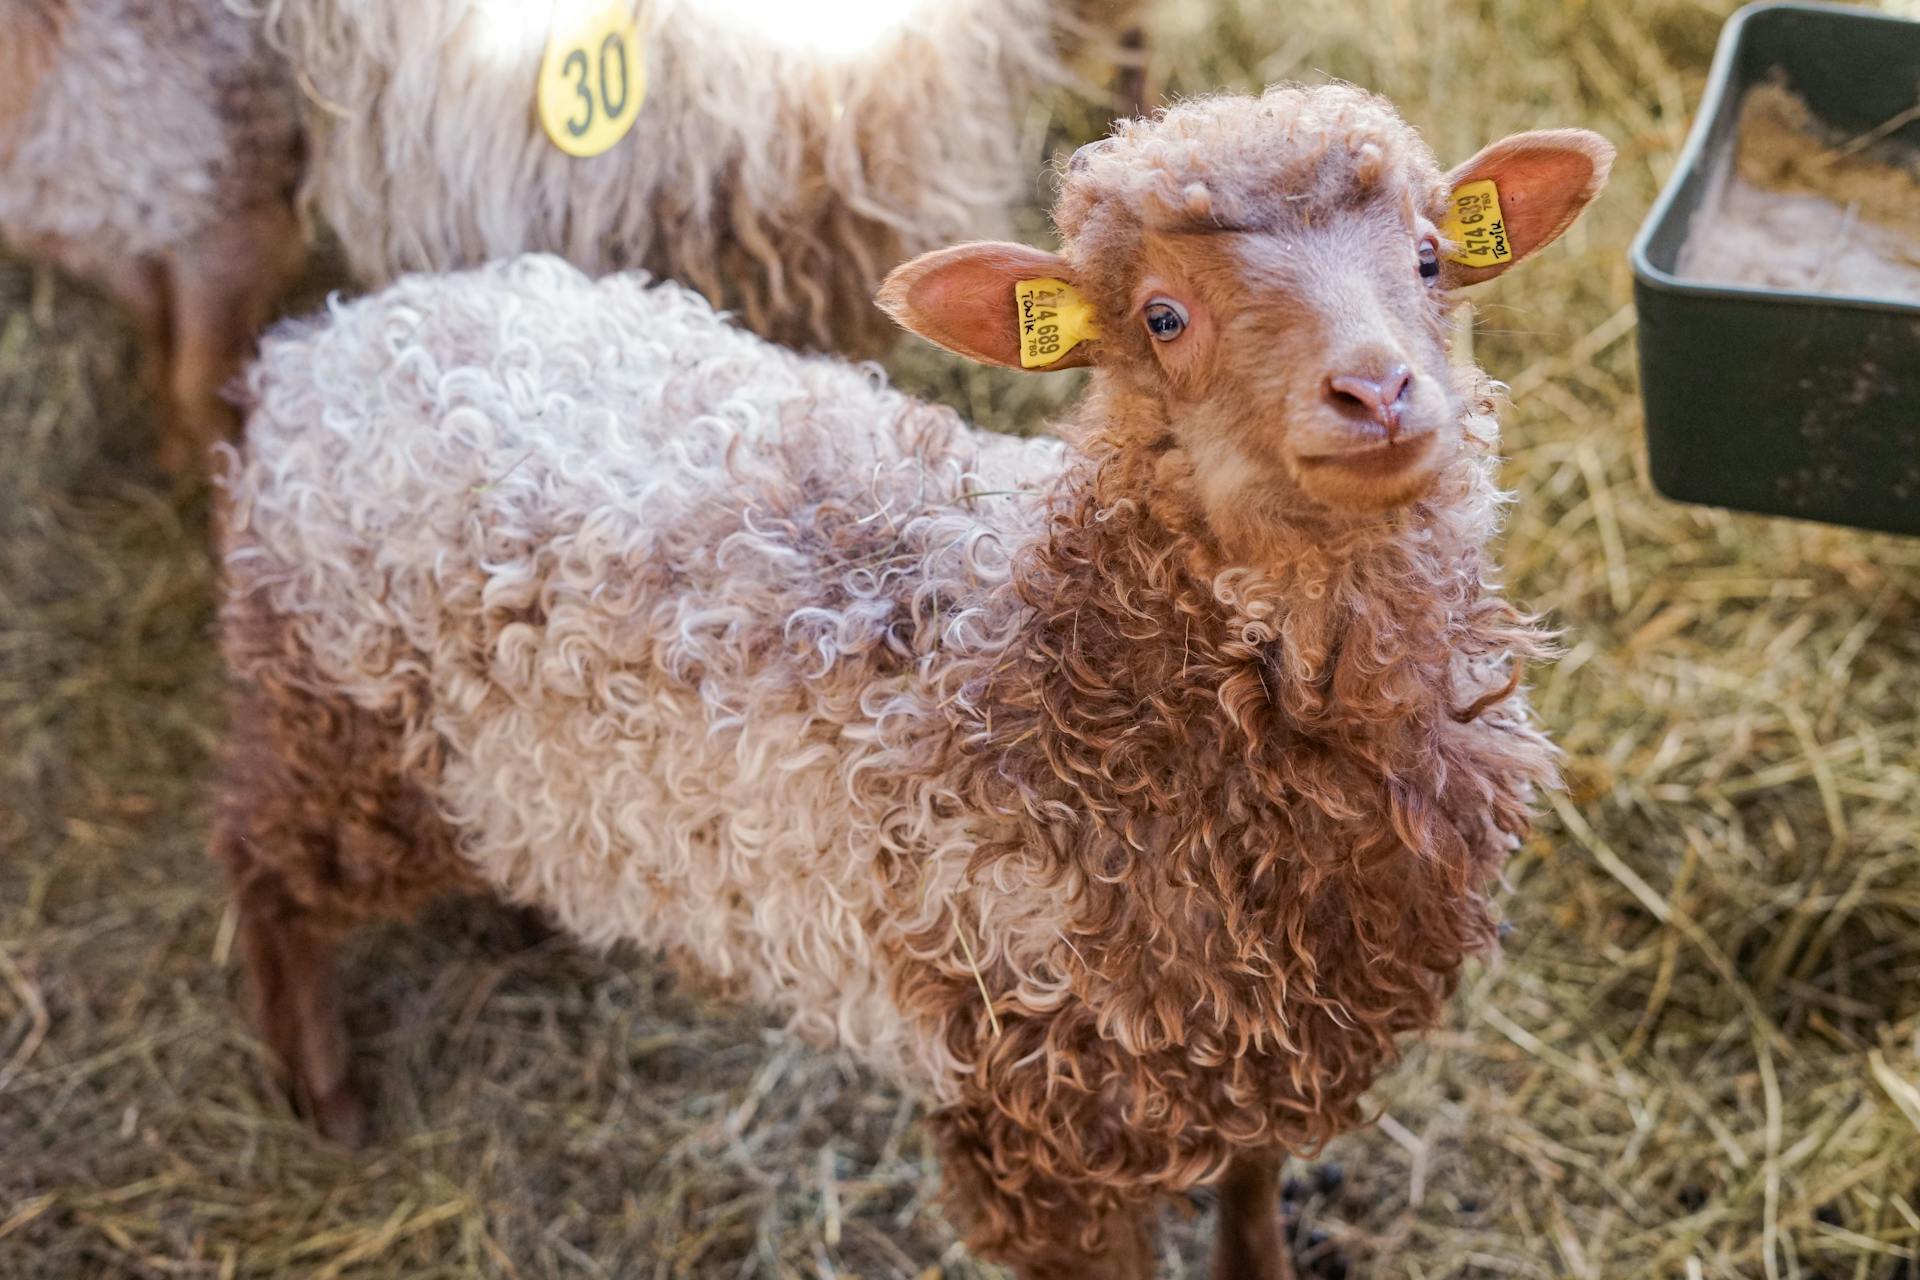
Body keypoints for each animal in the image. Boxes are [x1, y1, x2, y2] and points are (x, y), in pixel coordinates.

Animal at [217, 84, 1612, 1274]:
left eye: (1430, 258)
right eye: (1162, 317)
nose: (1376, 389)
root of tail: (325, 349)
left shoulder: (1257, 1039)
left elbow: (1256, 1196)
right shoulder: (1041, 1120)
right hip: (337, 722)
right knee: (266, 870)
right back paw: (326, 1092)